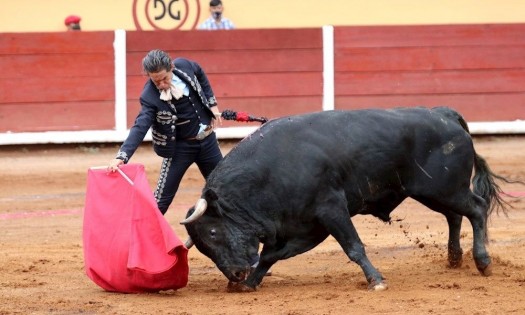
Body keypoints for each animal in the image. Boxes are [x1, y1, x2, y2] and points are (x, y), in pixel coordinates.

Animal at [180, 107, 512, 292]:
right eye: (203, 246)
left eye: (213, 232)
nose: (235, 274)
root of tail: (444, 113)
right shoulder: (305, 227)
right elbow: (271, 255)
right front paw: (250, 284)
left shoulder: (331, 210)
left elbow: (353, 247)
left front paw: (376, 281)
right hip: (436, 191)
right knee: (455, 215)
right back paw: (454, 258)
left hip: (445, 188)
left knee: (477, 209)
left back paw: (483, 262)